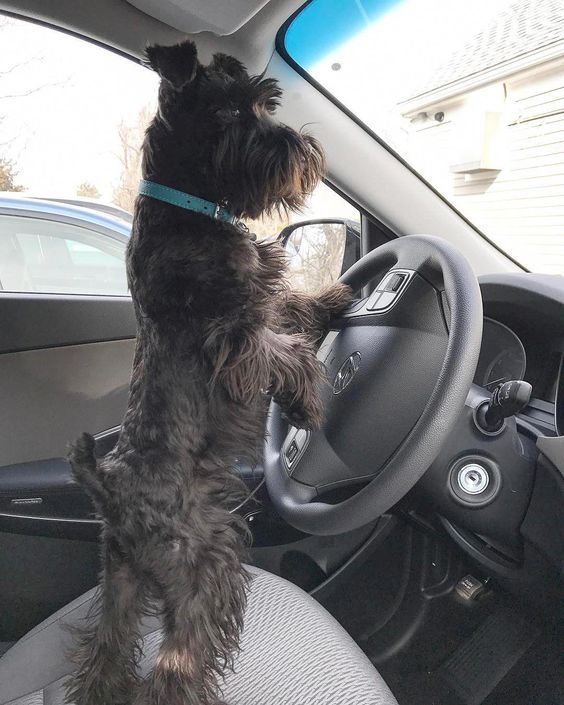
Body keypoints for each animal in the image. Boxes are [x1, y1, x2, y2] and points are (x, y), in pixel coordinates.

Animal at [65, 40, 348, 704]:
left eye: (263, 103)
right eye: (229, 111)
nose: (304, 149)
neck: (183, 202)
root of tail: (110, 495)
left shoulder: (262, 302)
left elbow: (296, 310)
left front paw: (336, 298)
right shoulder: (238, 337)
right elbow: (289, 350)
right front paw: (308, 402)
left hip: (120, 580)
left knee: (105, 653)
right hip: (205, 564)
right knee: (177, 662)